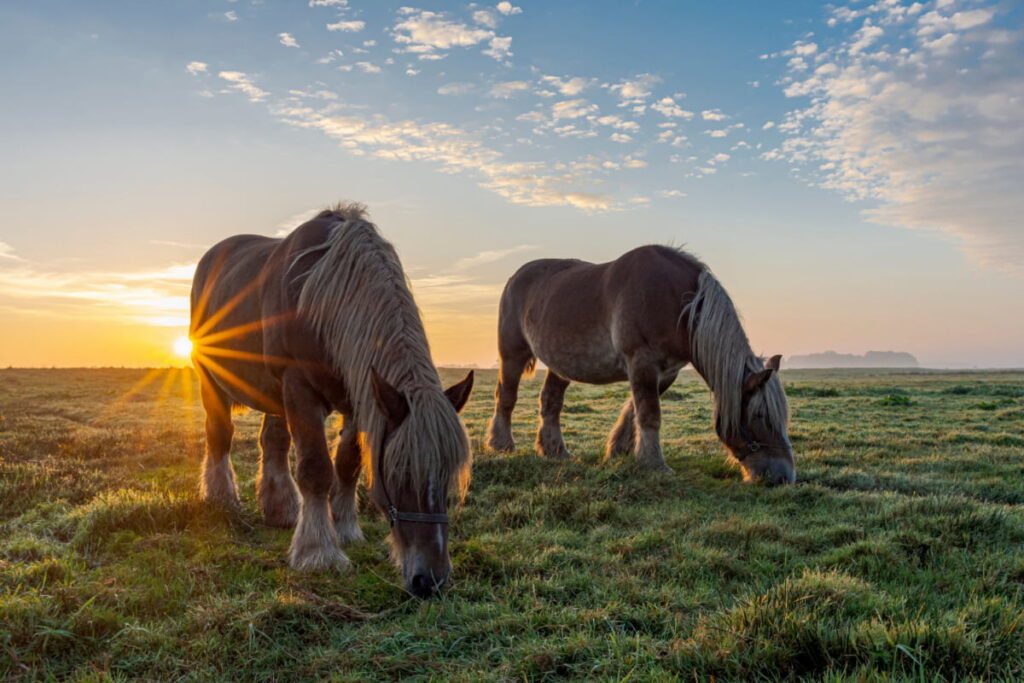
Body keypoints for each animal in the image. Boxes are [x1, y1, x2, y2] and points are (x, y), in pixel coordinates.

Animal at [189, 202, 475, 598]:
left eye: (449, 473)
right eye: (400, 474)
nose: (431, 580)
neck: (323, 302)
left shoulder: (360, 399)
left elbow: (347, 465)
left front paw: (344, 528)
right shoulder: (300, 390)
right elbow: (316, 470)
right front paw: (318, 551)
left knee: (273, 442)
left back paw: (281, 508)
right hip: (211, 378)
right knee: (220, 434)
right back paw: (222, 499)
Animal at [483, 245, 794, 485]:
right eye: (759, 416)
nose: (784, 477)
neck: (679, 304)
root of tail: (516, 277)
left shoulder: (664, 372)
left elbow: (634, 411)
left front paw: (619, 452)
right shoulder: (642, 363)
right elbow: (649, 414)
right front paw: (655, 465)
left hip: (561, 366)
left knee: (550, 402)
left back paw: (554, 451)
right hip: (512, 355)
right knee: (506, 397)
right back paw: (502, 445)